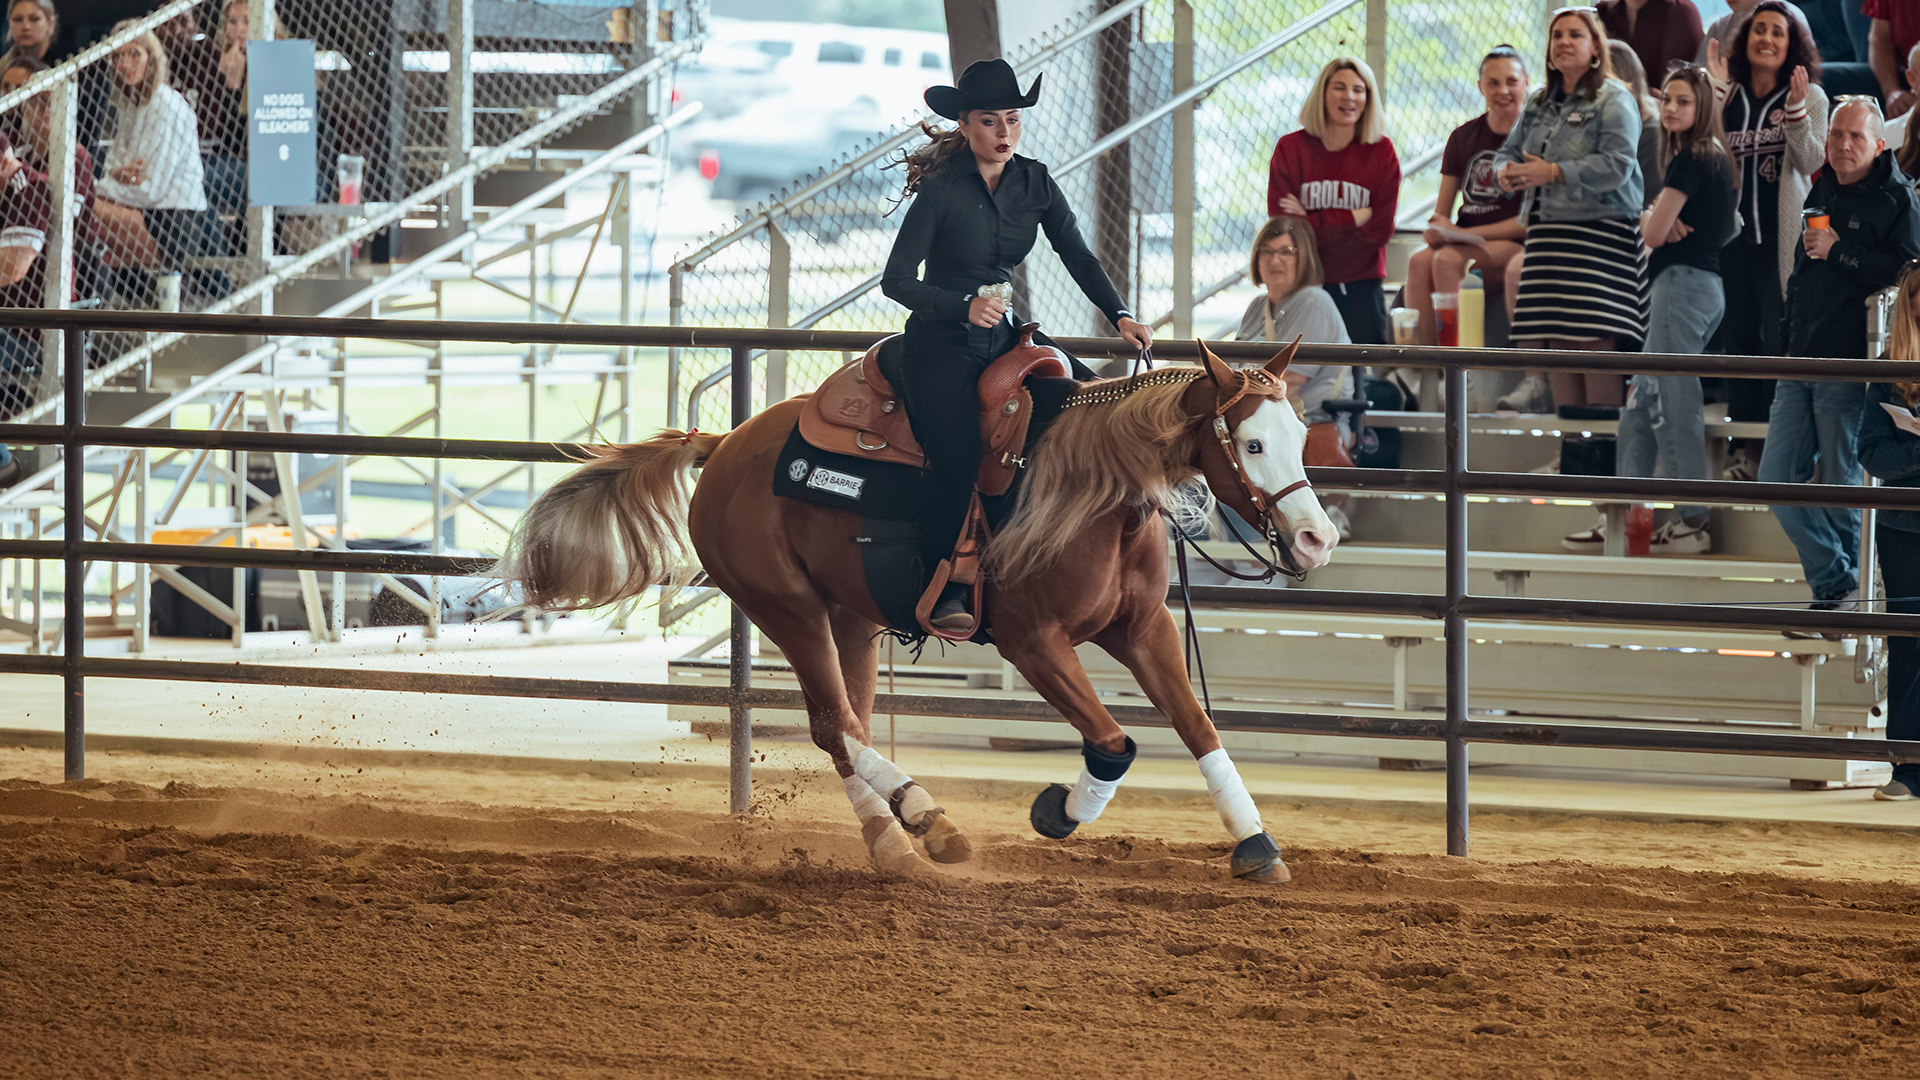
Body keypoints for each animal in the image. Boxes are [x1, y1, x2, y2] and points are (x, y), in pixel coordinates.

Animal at [491, 339, 1338, 883]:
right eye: (1251, 444)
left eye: (1297, 434)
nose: (1317, 538)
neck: (1091, 485)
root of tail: (725, 442)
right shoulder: (1033, 642)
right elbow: (1114, 743)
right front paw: (1058, 813)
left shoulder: (1144, 628)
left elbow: (1197, 728)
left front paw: (1254, 843)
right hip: (786, 606)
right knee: (833, 725)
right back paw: (927, 822)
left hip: (850, 618)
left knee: (850, 729)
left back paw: (896, 841)